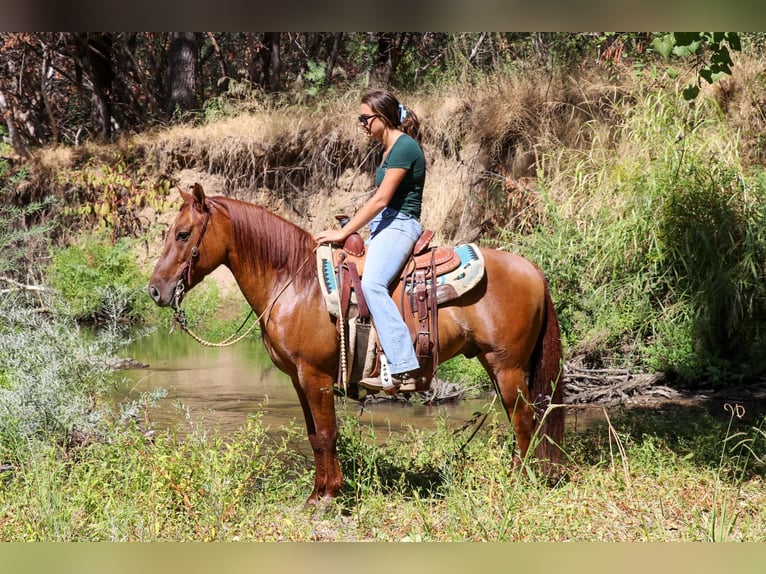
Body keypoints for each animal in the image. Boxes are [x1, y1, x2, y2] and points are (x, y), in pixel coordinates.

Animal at [150, 184, 568, 508]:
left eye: (183, 234)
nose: (156, 289)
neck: (296, 282)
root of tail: (533, 269)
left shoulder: (315, 375)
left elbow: (327, 434)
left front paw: (329, 496)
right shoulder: (298, 379)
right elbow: (315, 436)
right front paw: (317, 494)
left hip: (506, 365)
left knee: (524, 418)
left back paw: (521, 480)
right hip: (495, 364)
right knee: (521, 417)